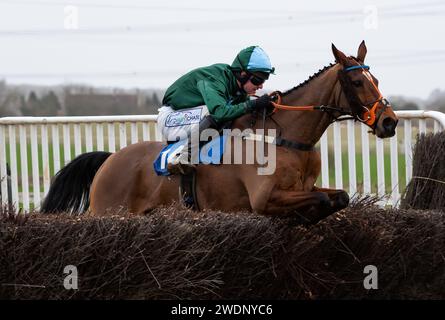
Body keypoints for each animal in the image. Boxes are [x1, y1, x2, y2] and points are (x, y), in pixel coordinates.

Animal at [40, 42, 396, 225]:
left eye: (376, 79)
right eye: (357, 82)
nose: (389, 122)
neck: (288, 138)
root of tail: (110, 159)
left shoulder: (304, 186)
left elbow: (339, 196)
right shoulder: (264, 198)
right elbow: (321, 198)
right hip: (107, 210)